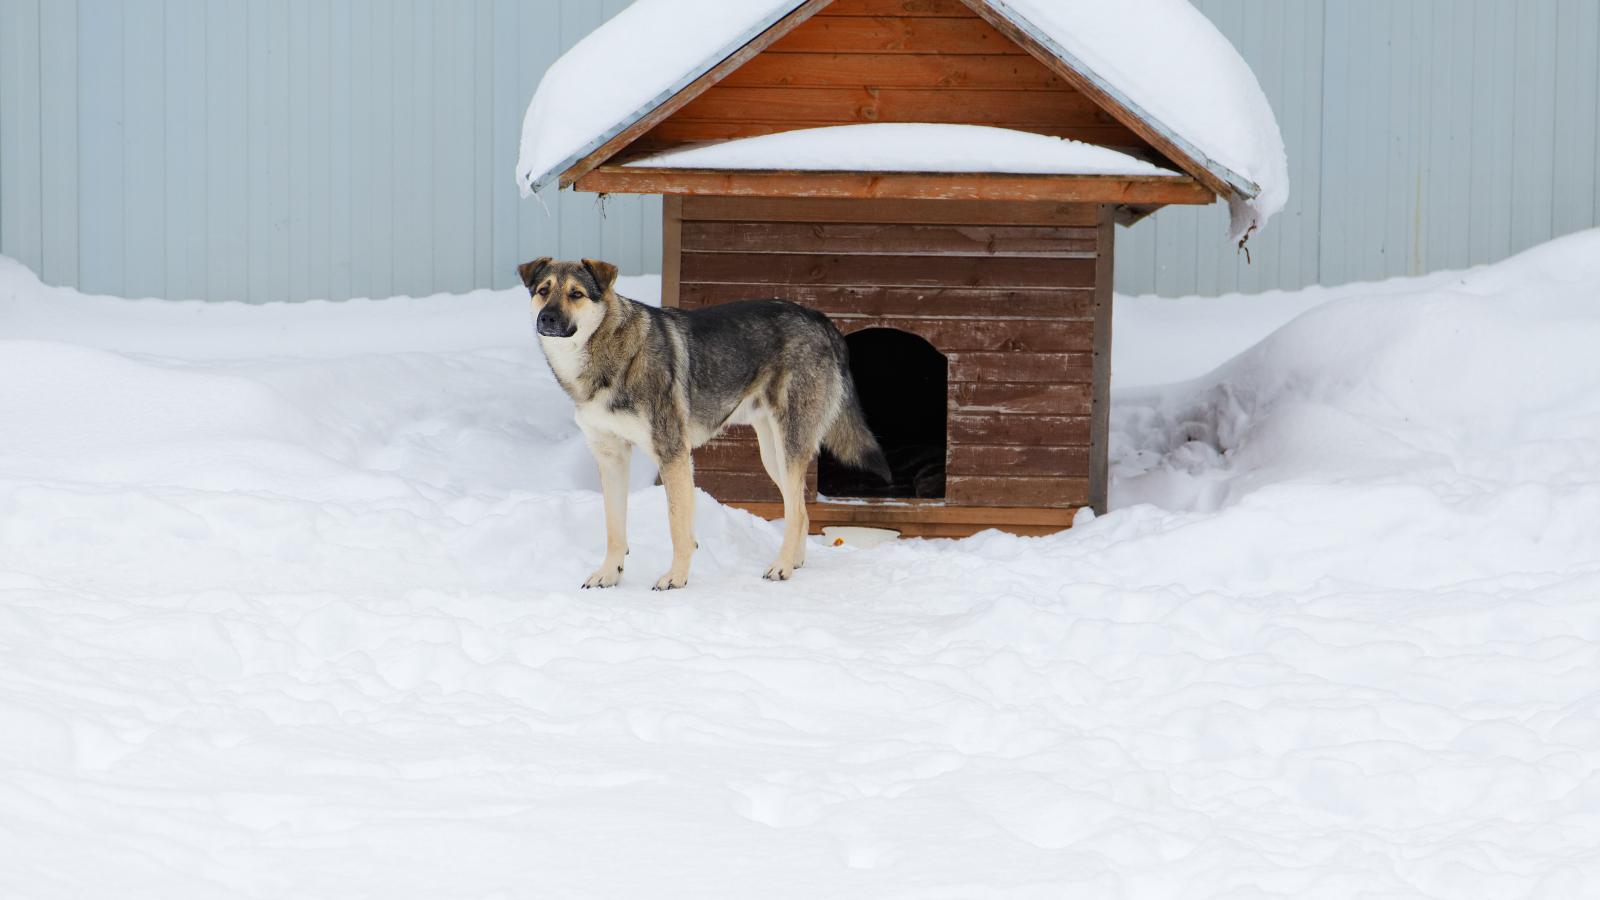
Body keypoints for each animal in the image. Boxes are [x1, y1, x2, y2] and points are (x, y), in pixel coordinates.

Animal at [528, 256, 896, 589]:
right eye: (544, 290)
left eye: (576, 294)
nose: (547, 318)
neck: (605, 353)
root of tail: (821, 319)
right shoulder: (611, 457)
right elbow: (614, 527)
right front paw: (609, 574)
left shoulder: (673, 454)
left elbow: (677, 524)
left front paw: (676, 578)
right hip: (772, 455)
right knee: (800, 511)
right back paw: (793, 561)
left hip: (789, 447)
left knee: (798, 512)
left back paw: (781, 567)